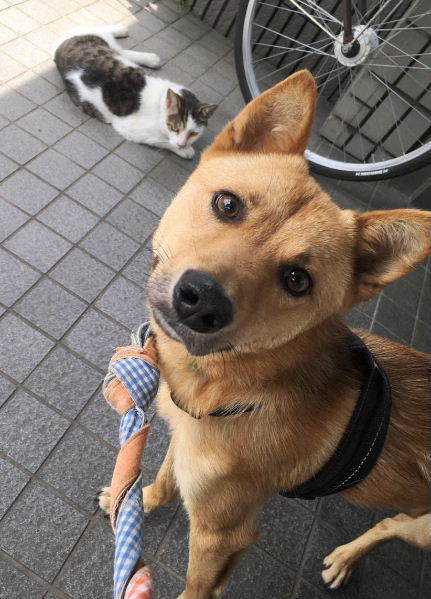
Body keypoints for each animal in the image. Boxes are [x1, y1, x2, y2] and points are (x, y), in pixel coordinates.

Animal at [53, 25, 218, 159]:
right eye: (174, 127)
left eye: (194, 133)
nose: (182, 144)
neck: (159, 105)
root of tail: (60, 45)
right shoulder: (129, 129)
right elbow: (161, 141)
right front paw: (185, 151)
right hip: (98, 38)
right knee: (101, 31)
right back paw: (122, 30)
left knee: (121, 50)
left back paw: (149, 56)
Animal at [101, 70, 431, 598]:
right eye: (228, 204)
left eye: (298, 280)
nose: (202, 300)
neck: (235, 383)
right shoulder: (185, 445)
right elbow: (167, 480)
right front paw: (138, 499)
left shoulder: (222, 535)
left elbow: (197, 587)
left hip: (424, 530)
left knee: (393, 525)